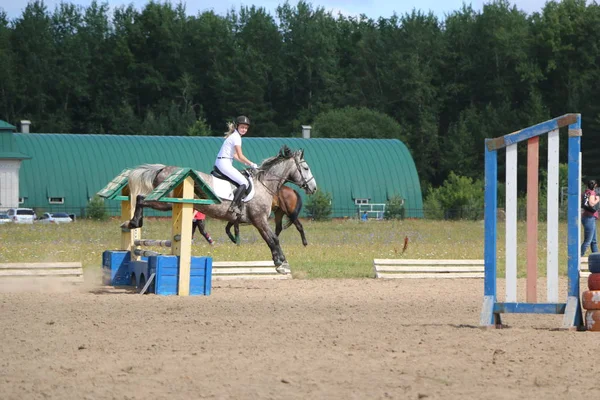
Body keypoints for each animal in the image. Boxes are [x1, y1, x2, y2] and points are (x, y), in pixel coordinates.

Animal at [122, 145, 318, 274]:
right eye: (306, 168)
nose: (313, 188)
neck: (264, 184)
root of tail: (163, 169)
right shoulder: (259, 220)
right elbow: (273, 239)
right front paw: (280, 263)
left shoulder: (255, 221)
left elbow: (271, 238)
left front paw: (280, 261)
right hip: (167, 202)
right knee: (141, 199)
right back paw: (134, 222)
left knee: (140, 198)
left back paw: (132, 223)